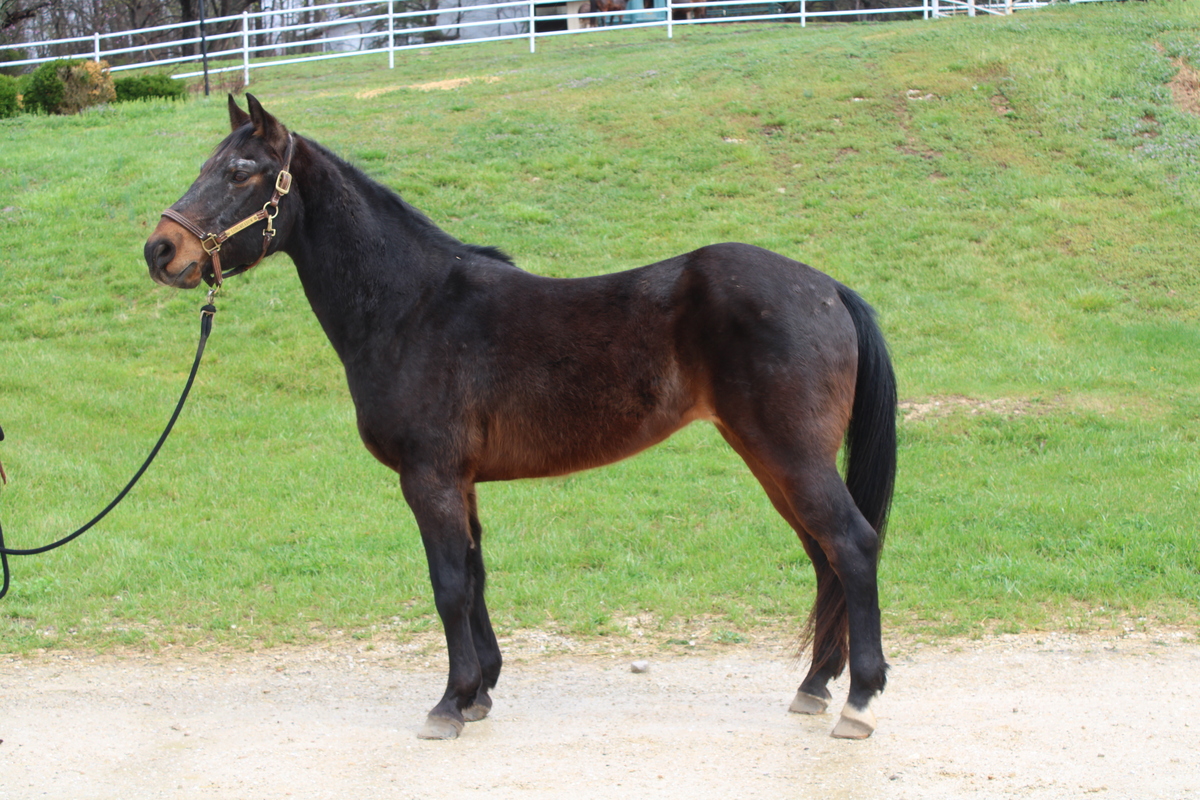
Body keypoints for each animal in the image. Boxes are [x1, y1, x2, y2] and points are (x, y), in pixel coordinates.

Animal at [144, 95, 897, 741]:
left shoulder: (429, 477)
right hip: (771, 460)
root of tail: (827, 288)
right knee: (824, 557)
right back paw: (814, 686)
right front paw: (479, 693)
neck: (412, 307)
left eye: (241, 172)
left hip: (792, 457)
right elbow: (475, 576)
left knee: (853, 545)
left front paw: (449, 703)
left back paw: (859, 701)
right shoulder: (461, 481)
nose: (161, 250)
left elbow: (449, 585)